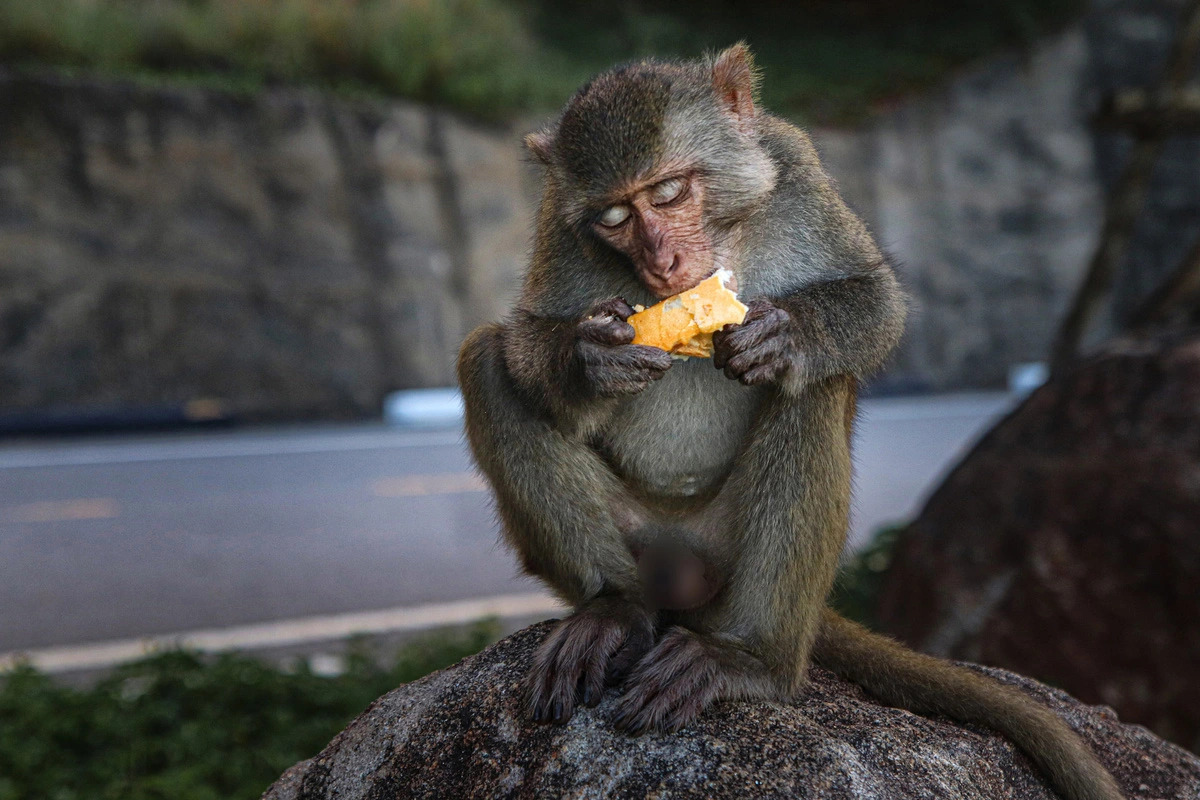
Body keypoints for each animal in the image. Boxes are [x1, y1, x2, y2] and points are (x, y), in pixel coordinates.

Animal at [457, 44, 1122, 800]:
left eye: (668, 192)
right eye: (615, 216)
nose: (663, 262)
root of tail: (681, 554)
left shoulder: (794, 166)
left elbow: (875, 300)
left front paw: (791, 335)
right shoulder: (556, 223)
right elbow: (523, 339)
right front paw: (587, 357)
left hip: (732, 551)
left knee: (813, 390)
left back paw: (751, 659)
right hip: (637, 537)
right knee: (486, 362)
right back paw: (613, 610)